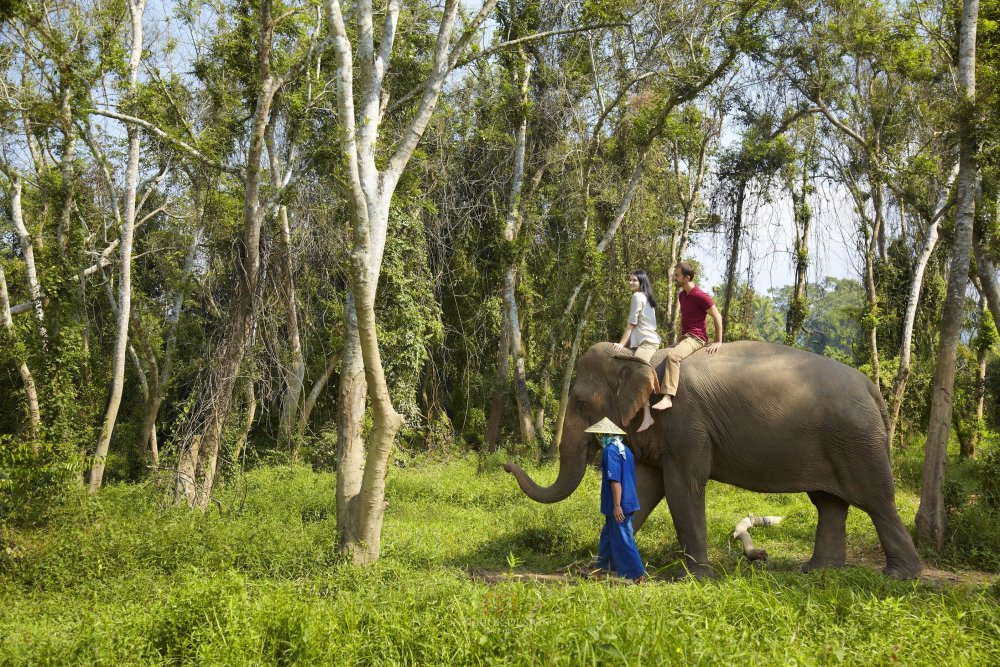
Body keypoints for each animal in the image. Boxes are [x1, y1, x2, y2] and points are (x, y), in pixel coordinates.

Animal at [504, 342, 924, 576]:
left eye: (579, 403)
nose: (507, 464)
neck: (642, 358)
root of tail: (872, 388)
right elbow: (645, 490)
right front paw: (597, 569)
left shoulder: (686, 421)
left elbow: (682, 486)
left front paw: (693, 577)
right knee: (829, 504)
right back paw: (817, 571)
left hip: (857, 441)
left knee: (877, 502)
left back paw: (900, 576)